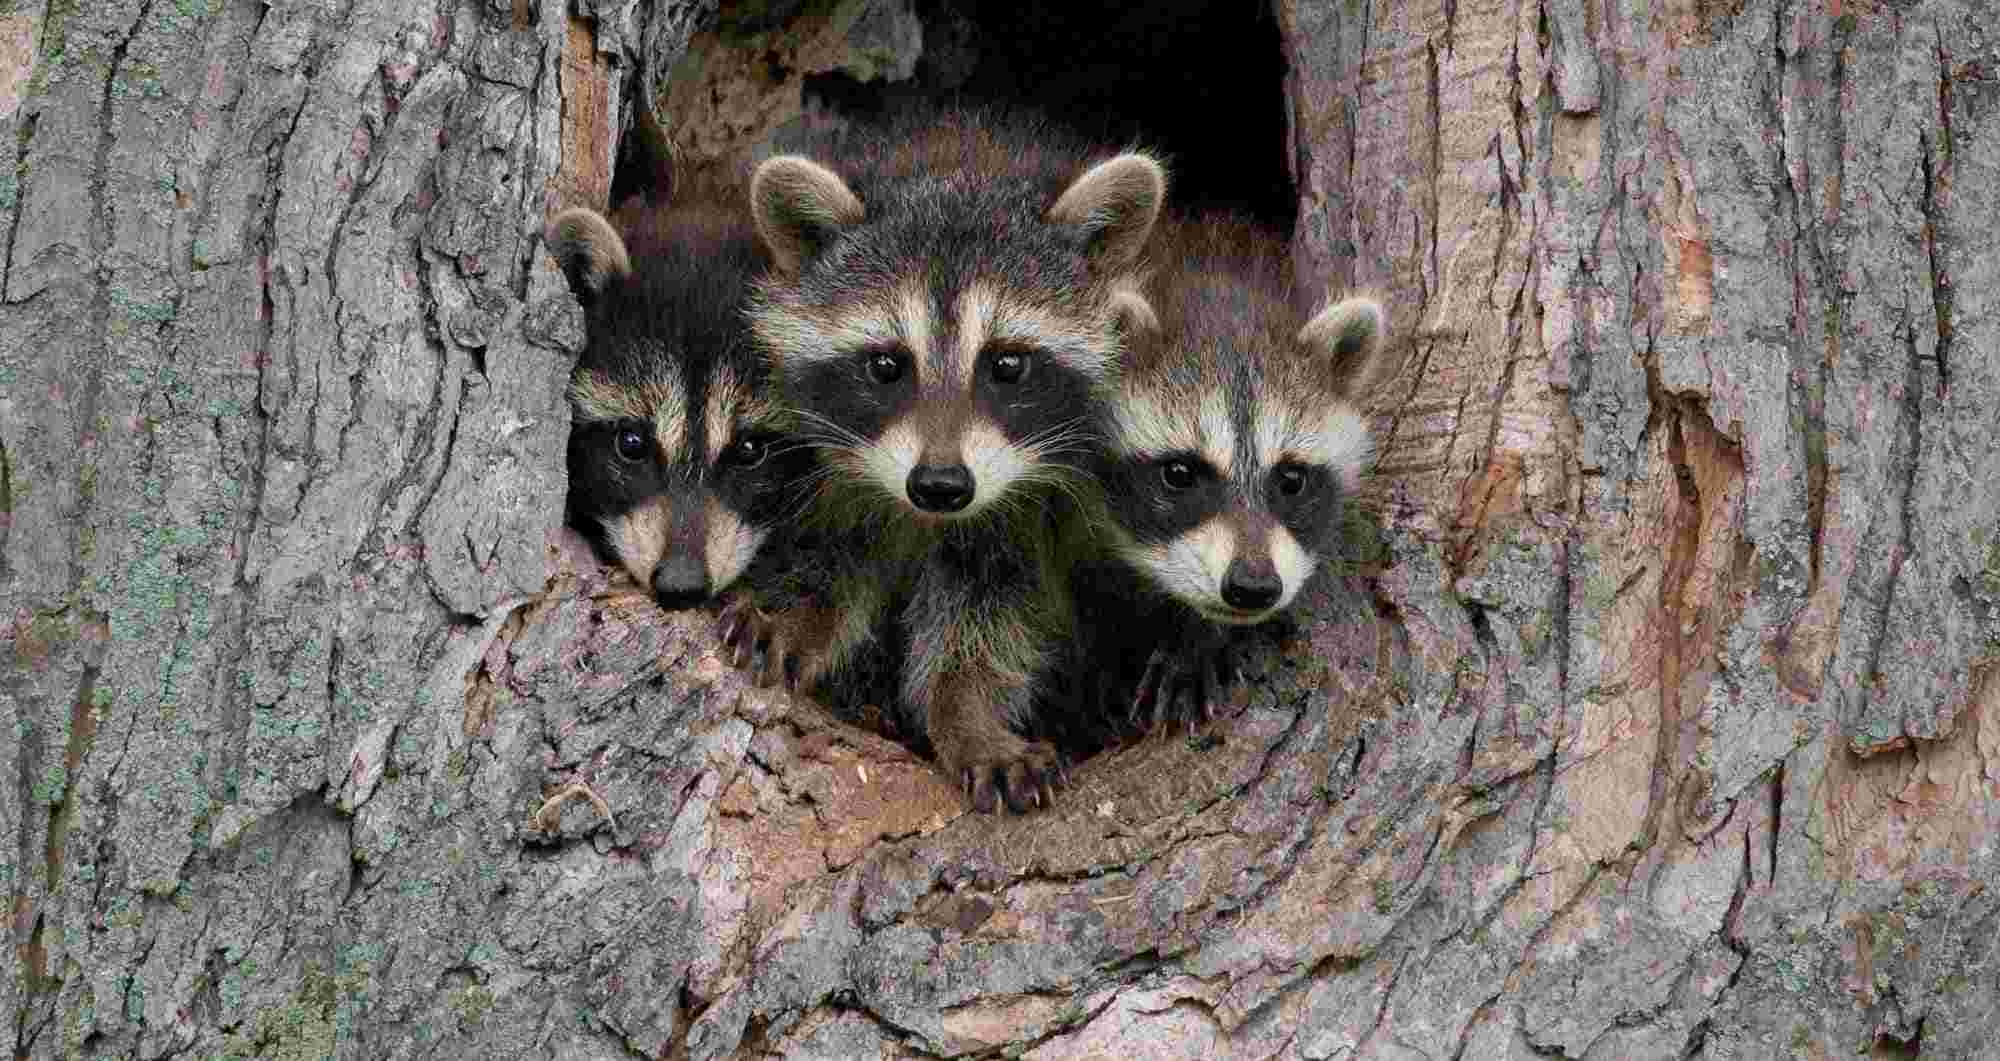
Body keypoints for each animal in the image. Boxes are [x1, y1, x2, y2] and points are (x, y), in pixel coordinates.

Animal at [724, 107, 1166, 813]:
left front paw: (968, 716)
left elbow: (989, 617)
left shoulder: (1026, 508)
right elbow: (830, 549)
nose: (939, 485)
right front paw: (796, 610)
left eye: (1007, 365)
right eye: (886, 365)